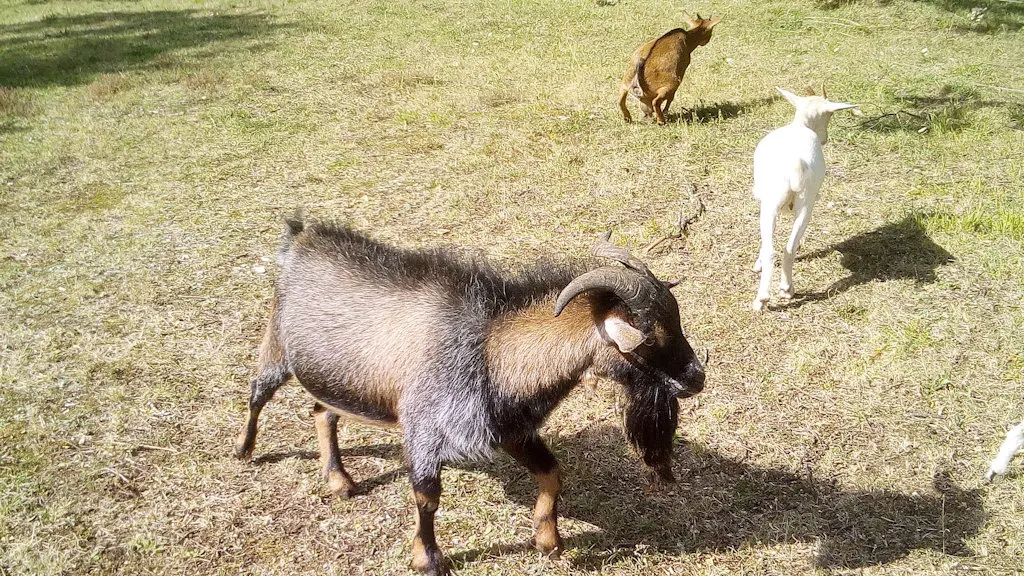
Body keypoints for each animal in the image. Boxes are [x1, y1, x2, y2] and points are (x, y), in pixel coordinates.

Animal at [753, 86, 856, 309]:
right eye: (830, 115)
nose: (825, 138)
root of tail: (794, 166)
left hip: (773, 203)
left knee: (774, 249)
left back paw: (764, 298)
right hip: (806, 203)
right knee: (788, 248)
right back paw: (785, 290)